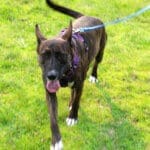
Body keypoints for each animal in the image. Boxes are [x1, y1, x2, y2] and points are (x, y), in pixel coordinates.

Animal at [35, 0, 107, 149]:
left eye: (61, 55)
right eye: (44, 55)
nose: (51, 76)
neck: (65, 74)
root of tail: (90, 16)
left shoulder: (80, 84)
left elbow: (77, 100)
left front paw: (72, 117)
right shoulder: (49, 92)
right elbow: (53, 117)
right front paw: (56, 140)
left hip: (100, 51)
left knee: (96, 63)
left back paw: (94, 76)